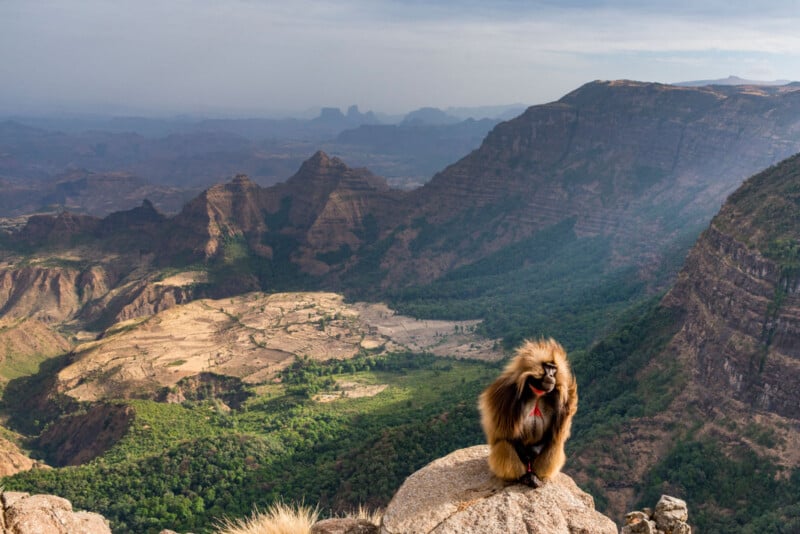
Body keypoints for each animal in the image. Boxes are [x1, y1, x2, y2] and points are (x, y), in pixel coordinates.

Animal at [479, 338, 578, 487]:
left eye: (554, 369)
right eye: (547, 367)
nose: (551, 376)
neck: (537, 392)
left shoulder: (565, 401)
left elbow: (554, 433)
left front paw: (533, 451)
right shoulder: (505, 395)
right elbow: (506, 434)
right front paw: (526, 454)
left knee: (555, 443)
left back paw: (536, 477)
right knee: (504, 445)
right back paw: (522, 477)